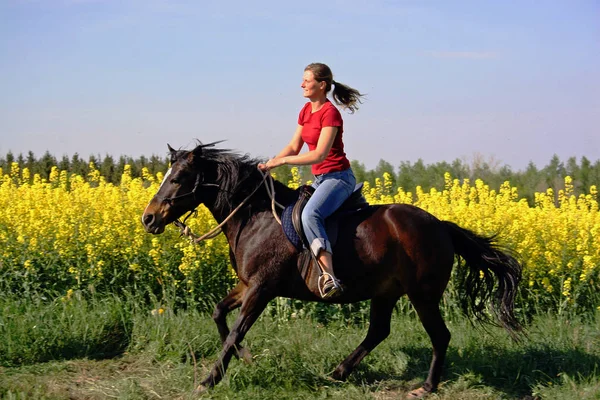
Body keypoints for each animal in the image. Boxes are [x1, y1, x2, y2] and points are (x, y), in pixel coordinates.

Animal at [139, 143, 520, 396]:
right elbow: (219, 314)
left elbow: (234, 331)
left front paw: (209, 380)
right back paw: (339, 372)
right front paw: (245, 357)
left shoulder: (262, 288)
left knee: (439, 336)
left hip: (422, 295)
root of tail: (441, 225)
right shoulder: (247, 285)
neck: (255, 216)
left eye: (180, 177)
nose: (149, 218)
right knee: (378, 331)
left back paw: (425, 387)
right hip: (386, 292)